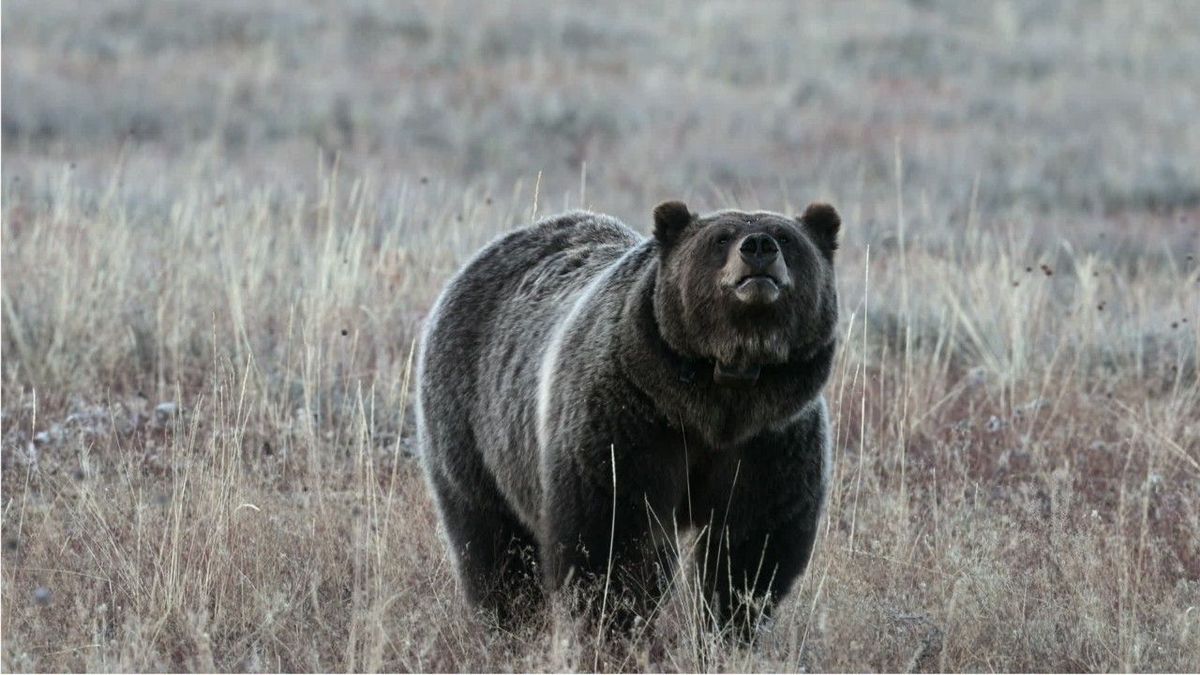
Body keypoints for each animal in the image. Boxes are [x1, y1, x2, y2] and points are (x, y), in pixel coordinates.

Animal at [417, 199, 840, 634]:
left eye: (786, 237)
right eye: (720, 238)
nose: (758, 247)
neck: (714, 401)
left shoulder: (769, 439)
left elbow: (752, 548)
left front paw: (730, 625)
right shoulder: (631, 421)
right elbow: (608, 536)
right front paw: (613, 622)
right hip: (471, 425)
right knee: (493, 541)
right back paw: (510, 620)